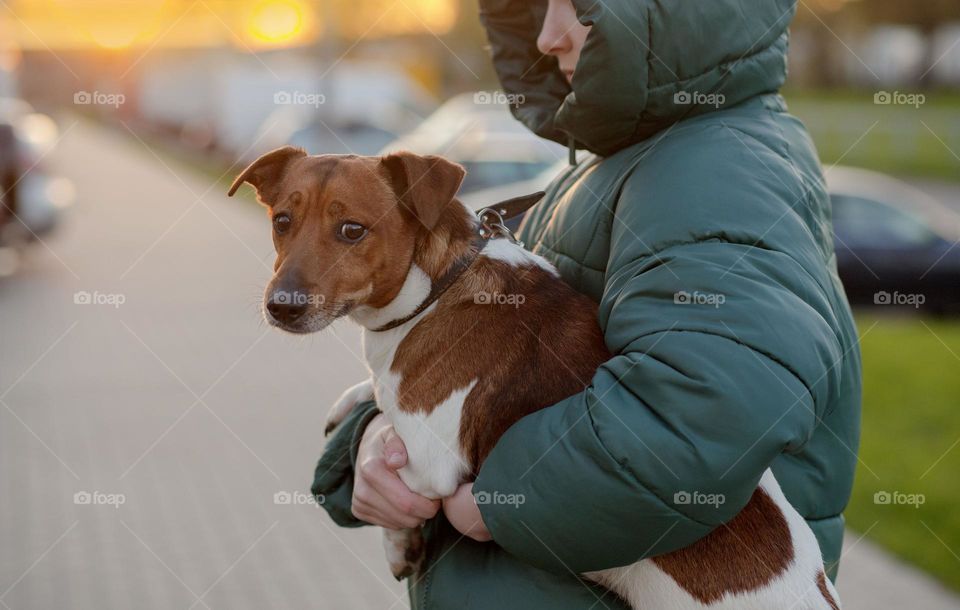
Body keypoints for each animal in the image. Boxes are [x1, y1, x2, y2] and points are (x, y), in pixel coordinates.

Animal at [231, 147, 840, 608]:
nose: (280, 306)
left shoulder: (429, 461)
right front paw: (352, 397)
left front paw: (399, 542)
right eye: (281, 222)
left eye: (352, 229)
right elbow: (378, 393)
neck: (439, 285)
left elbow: (390, 450)